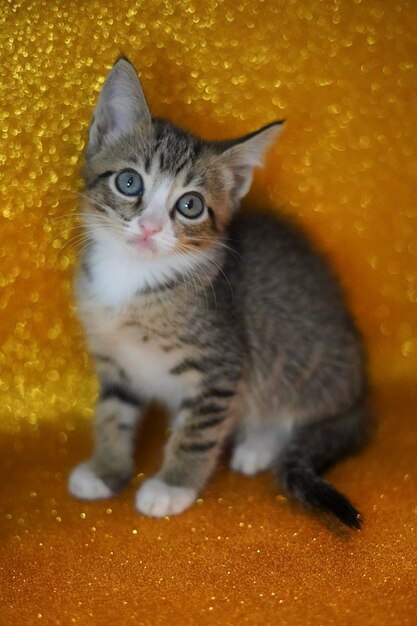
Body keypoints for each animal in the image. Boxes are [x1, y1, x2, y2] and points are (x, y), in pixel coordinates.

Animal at [68, 57, 368, 528]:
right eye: (130, 182)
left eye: (190, 205)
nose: (150, 227)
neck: (133, 280)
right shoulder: (116, 362)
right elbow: (112, 415)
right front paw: (105, 470)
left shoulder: (221, 365)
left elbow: (197, 432)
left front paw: (172, 486)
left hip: (300, 363)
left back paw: (258, 446)